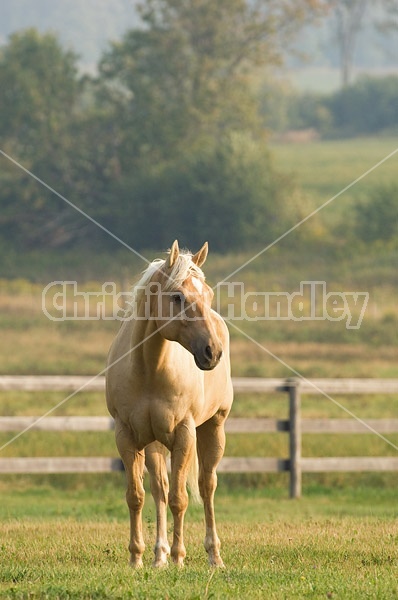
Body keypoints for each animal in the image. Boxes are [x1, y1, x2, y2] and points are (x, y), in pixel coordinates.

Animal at [105, 240, 233, 568]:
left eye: (208, 294)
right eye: (177, 297)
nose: (212, 352)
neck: (150, 369)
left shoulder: (184, 435)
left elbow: (180, 498)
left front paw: (179, 558)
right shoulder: (126, 436)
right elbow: (136, 496)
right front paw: (136, 558)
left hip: (213, 428)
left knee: (206, 486)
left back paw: (214, 556)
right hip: (154, 443)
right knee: (159, 489)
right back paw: (158, 555)